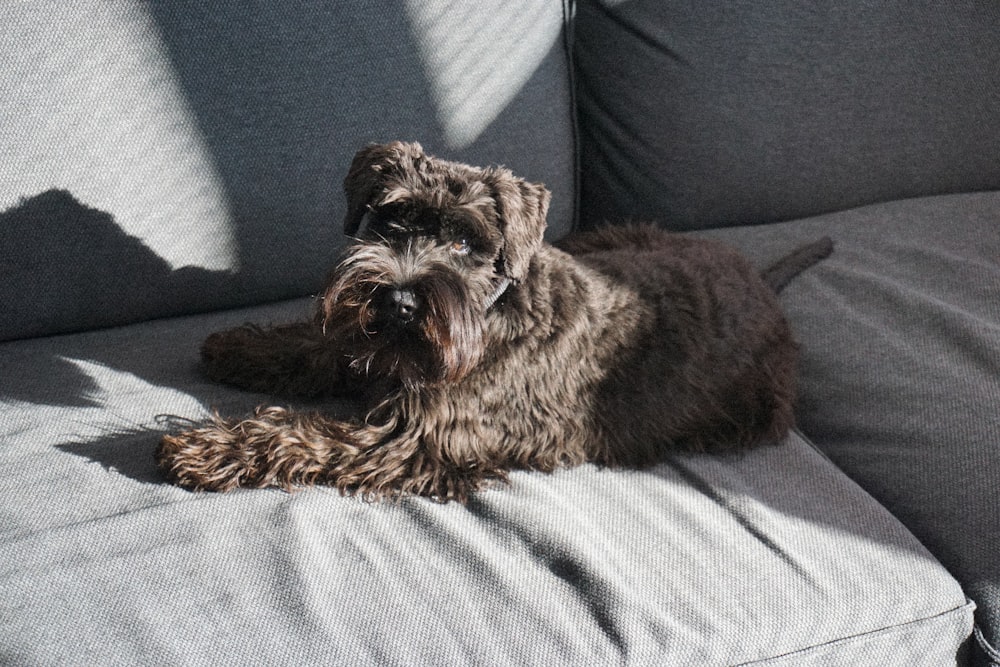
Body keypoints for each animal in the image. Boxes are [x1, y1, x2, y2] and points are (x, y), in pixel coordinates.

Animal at [154, 144, 828, 504]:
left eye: (464, 242)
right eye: (390, 220)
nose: (398, 301)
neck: (492, 310)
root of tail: (764, 283)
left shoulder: (414, 439)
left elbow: (298, 434)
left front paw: (205, 449)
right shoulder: (368, 347)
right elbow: (320, 346)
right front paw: (237, 347)